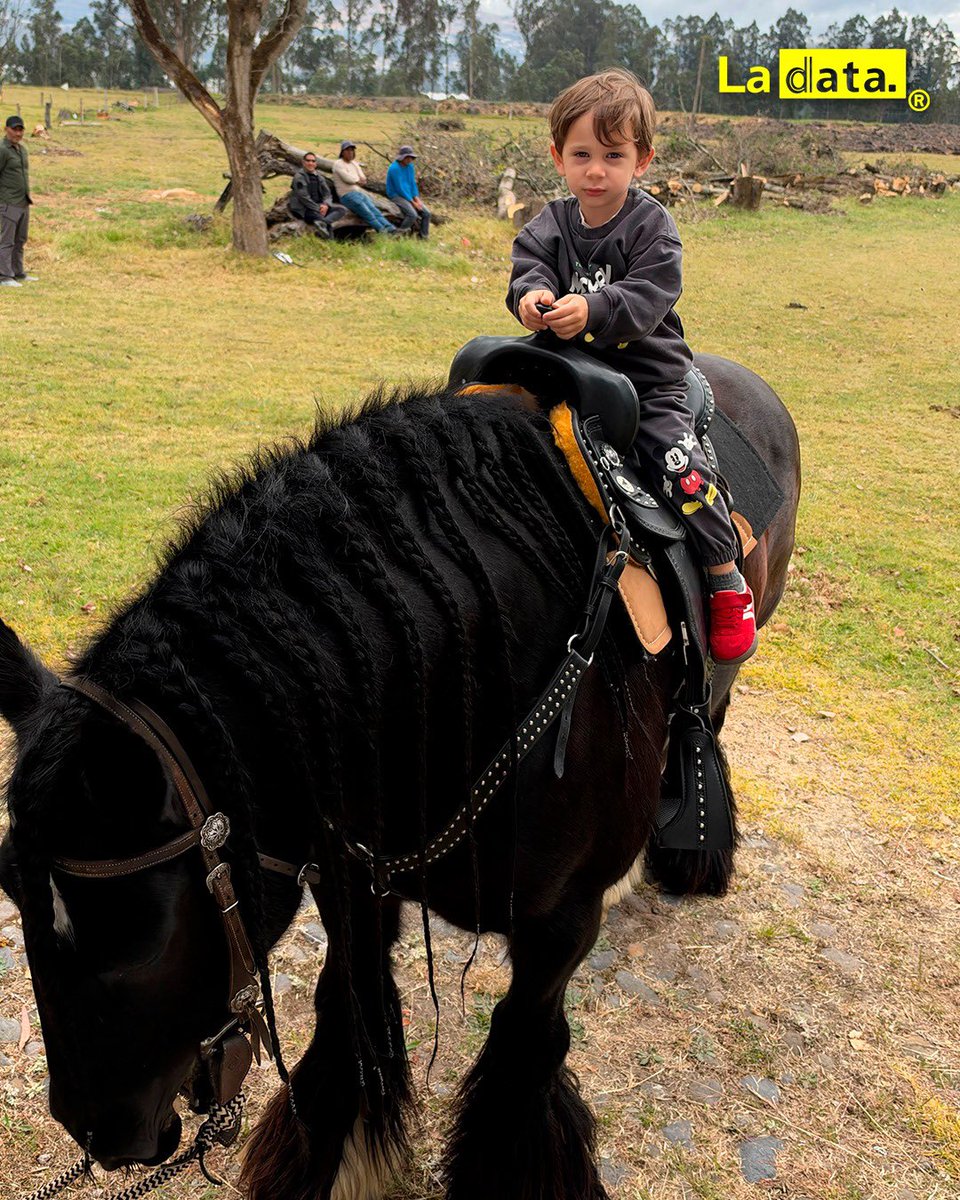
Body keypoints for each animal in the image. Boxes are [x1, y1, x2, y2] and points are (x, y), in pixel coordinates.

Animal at [0, 355, 799, 1200]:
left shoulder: (561, 928)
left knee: (710, 716)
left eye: (141, 946)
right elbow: (347, 1026)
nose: (96, 1131)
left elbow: (519, 1053)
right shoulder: (358, 887)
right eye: (11, 895)